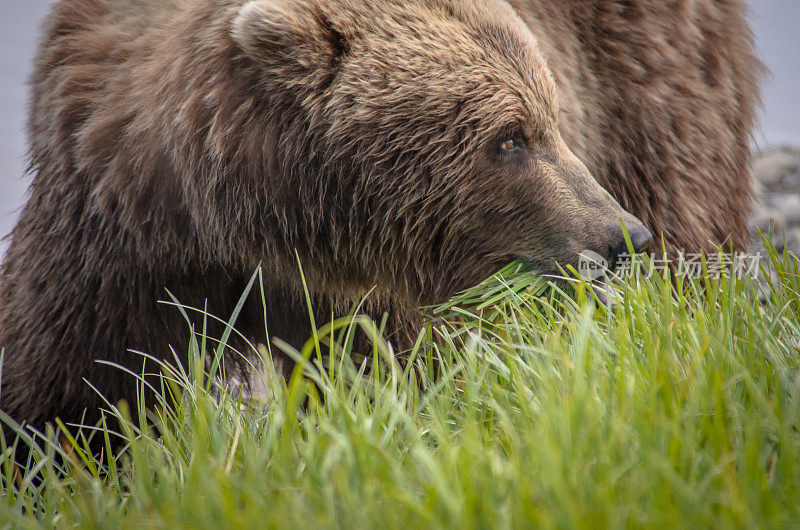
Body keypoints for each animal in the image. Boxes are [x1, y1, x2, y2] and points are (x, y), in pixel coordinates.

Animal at [0, 0, 756, 438]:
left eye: (549, 119)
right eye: (511, 137)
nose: (621, 235)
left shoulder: (386, 296)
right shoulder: (113, 233)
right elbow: (70, 391)